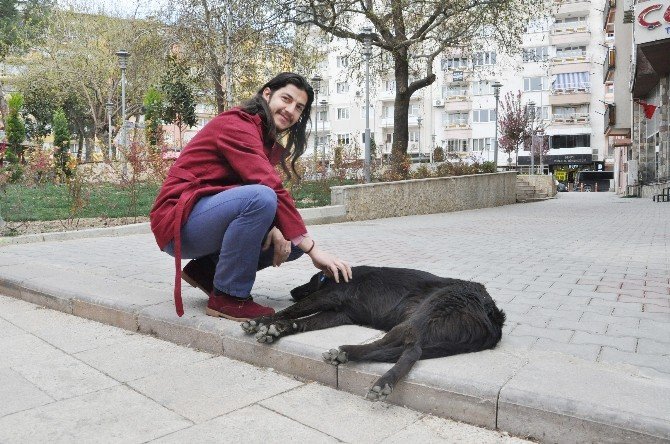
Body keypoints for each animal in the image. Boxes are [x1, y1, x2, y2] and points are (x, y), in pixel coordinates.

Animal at [239, 268, 506, 402]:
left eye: (310, 280)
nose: (294, 291)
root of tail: (493, 314)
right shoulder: (339, 315)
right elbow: (301, 322)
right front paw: (278, 329)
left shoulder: (327, 296)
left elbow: (289, 311)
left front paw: (261, 323)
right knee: (406, 350)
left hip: (424, 313)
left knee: (409, 347)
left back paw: (359, 362)